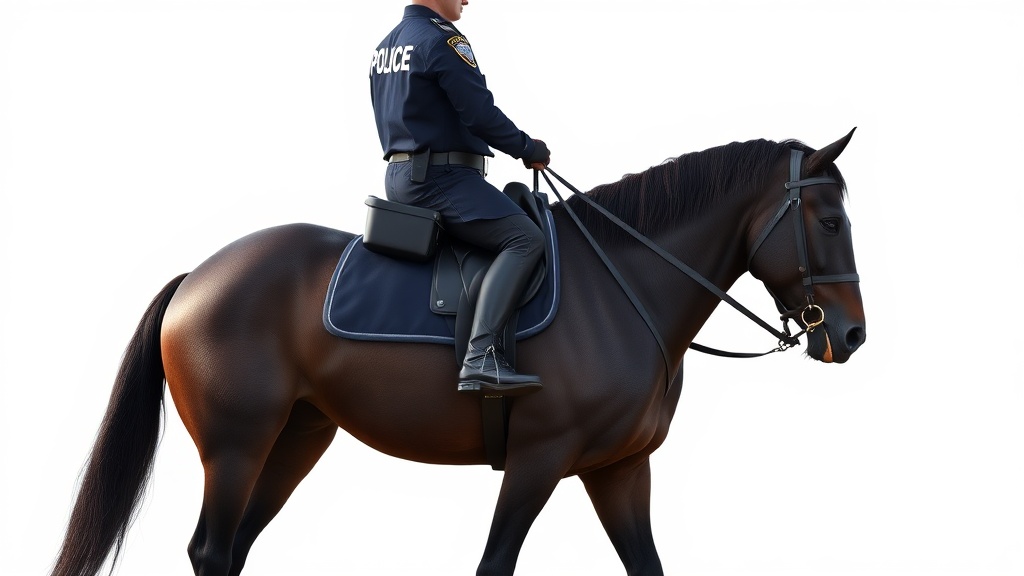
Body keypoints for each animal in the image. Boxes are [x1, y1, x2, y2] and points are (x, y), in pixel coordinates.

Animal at [50, 129, 866, 576]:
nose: (852, 335)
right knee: (213, 550)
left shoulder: (619, 467)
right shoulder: (541, 457)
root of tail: (199, 275)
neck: (622, 282)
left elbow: (649, 565)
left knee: (234, 548)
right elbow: (494, 562)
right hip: (235, 445)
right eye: (828, 221)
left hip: (295, 439)